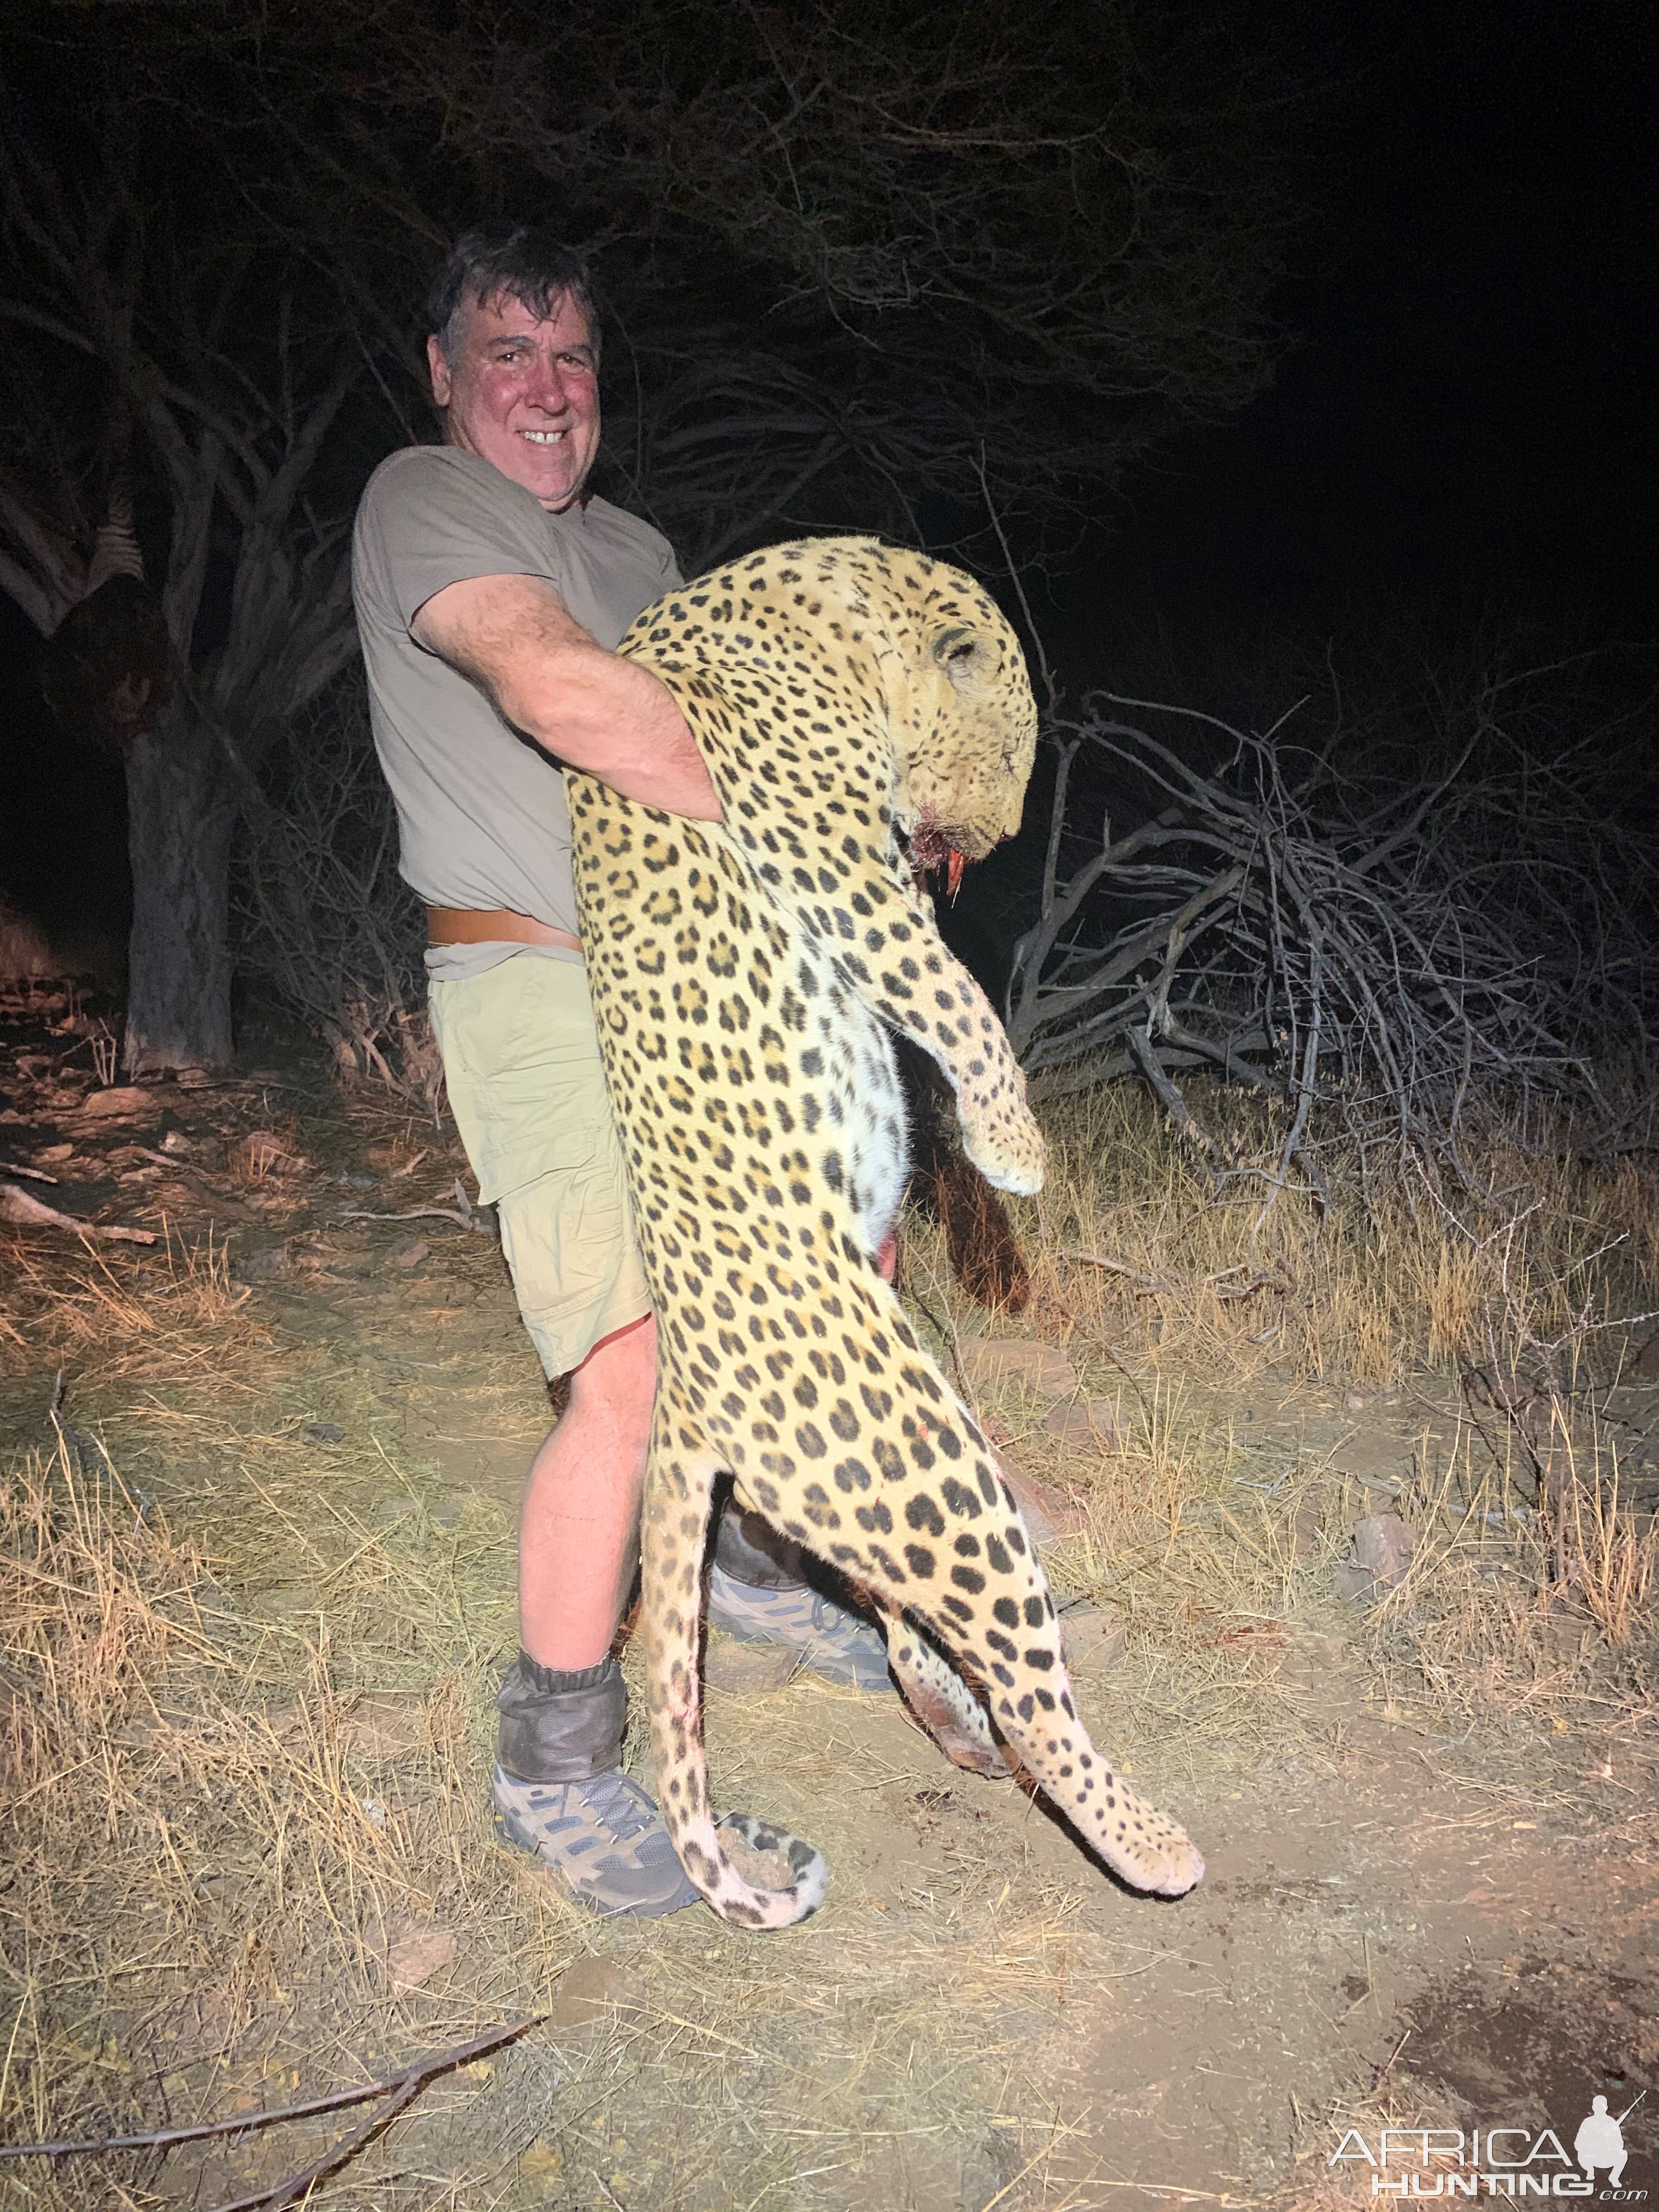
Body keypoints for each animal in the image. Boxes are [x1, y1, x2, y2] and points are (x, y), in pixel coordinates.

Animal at [566, 531, 1203, 1920]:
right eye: (1009, 749)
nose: (995, 838)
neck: (827, 616)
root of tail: (686, 1394)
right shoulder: (837, 864)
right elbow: (955, 996)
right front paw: (1015, 1150)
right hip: (927, 1466)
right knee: (1028, 1679)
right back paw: (1151, 1841)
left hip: (881, 1470)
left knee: (916, 1624)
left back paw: (952, 1719)